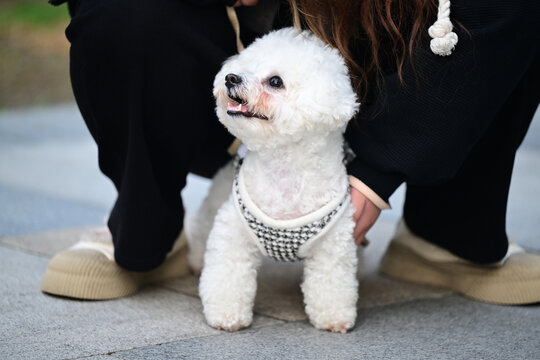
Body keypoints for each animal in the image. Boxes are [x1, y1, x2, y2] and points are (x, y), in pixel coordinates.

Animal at [188, 28, 360, 334]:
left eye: (275, 81)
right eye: (244, 67)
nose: (230, 77)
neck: (284, 168)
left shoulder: (334, 244)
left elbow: (332, 282)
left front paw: (333, 318)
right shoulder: (232, 230)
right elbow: (227, 273)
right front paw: (226, 316)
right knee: (201, 227)